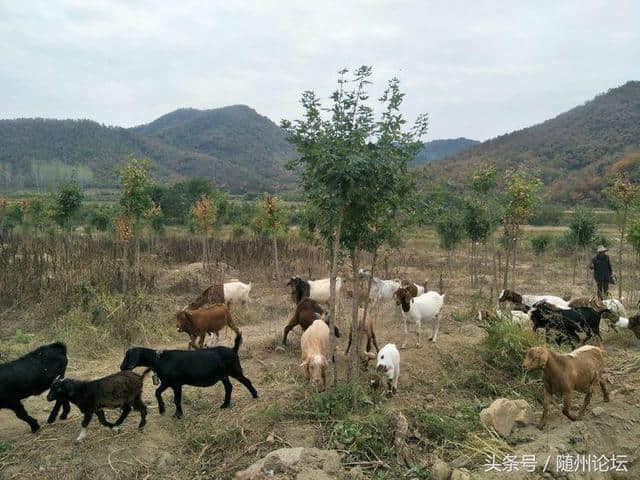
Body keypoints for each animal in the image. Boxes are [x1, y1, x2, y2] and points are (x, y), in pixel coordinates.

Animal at [121, 332, 256, 418]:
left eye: (128, 356)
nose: (122, 367)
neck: (160, 359)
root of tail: (233, 350)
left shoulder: (176, 384)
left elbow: (176, 399)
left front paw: (178, 414)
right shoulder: (167, 382)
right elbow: (157, 392)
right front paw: (162, 409)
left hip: (235, 370)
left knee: (246, 381)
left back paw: (255, 395)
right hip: (223, 375)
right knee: (229, 387)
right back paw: (225, 405)